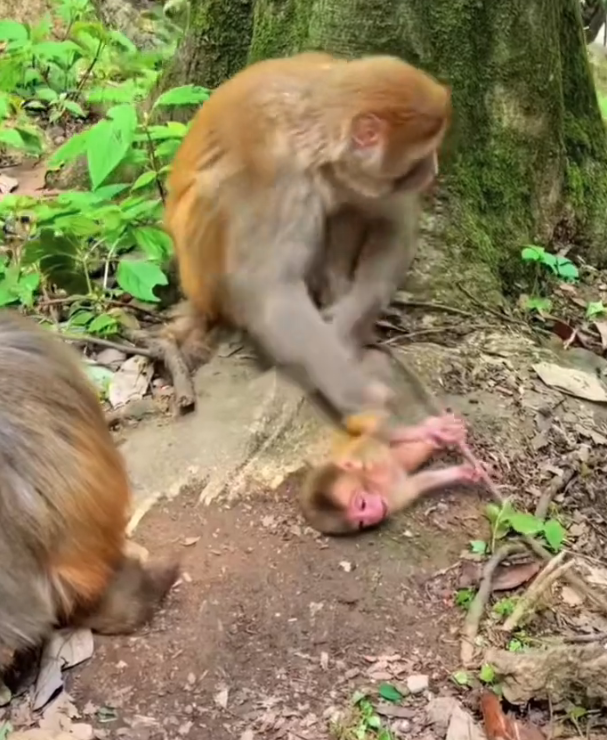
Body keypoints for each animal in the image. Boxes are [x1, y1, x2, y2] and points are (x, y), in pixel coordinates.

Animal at [164, 51, 451, 436]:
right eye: (420, 157)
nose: (434, 170)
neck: (312, 134)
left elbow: (393, 223)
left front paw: (345, 323)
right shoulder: (275, 174)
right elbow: (272, 294)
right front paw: (364, 401)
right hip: (203, 279)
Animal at [299, 412, 483, 535]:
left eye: (362, 504)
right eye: (361, 522)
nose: (375, 514)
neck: (372, 485)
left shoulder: (365, 460)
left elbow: (373, 434)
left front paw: (432, 431)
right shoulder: (390, 501)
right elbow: (416, 484)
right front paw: (461, 472)